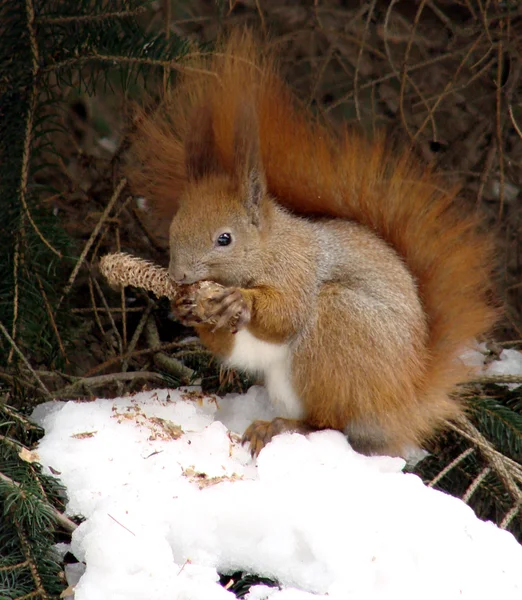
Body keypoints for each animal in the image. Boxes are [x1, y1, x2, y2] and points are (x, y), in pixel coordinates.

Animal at [125, 30, 496, 458]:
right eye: (174, 226)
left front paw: (241, 301)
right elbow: (233, 350)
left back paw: (279, 427)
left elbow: (287, 314)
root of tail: (403, 406)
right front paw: (185, 308)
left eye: (224, 239)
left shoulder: (299, 269)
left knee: (329, 423)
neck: (269, 251)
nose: (178, 275)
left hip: (339, 331)